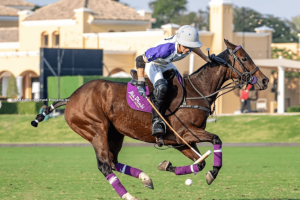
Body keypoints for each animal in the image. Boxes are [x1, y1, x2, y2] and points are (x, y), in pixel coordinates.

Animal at [31, 39, 270, 200]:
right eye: (245, 58)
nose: (265, 80)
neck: (197, 91)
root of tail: (71, 97)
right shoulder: (185, 133)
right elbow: (216, 140)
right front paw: (212, 173)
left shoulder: (180, 141)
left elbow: (199, 163)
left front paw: (167, 166)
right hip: (95, 128)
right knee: (104, 165)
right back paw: (129, 195)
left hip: (114, 133)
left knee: (113, 161)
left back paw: (145, 178)